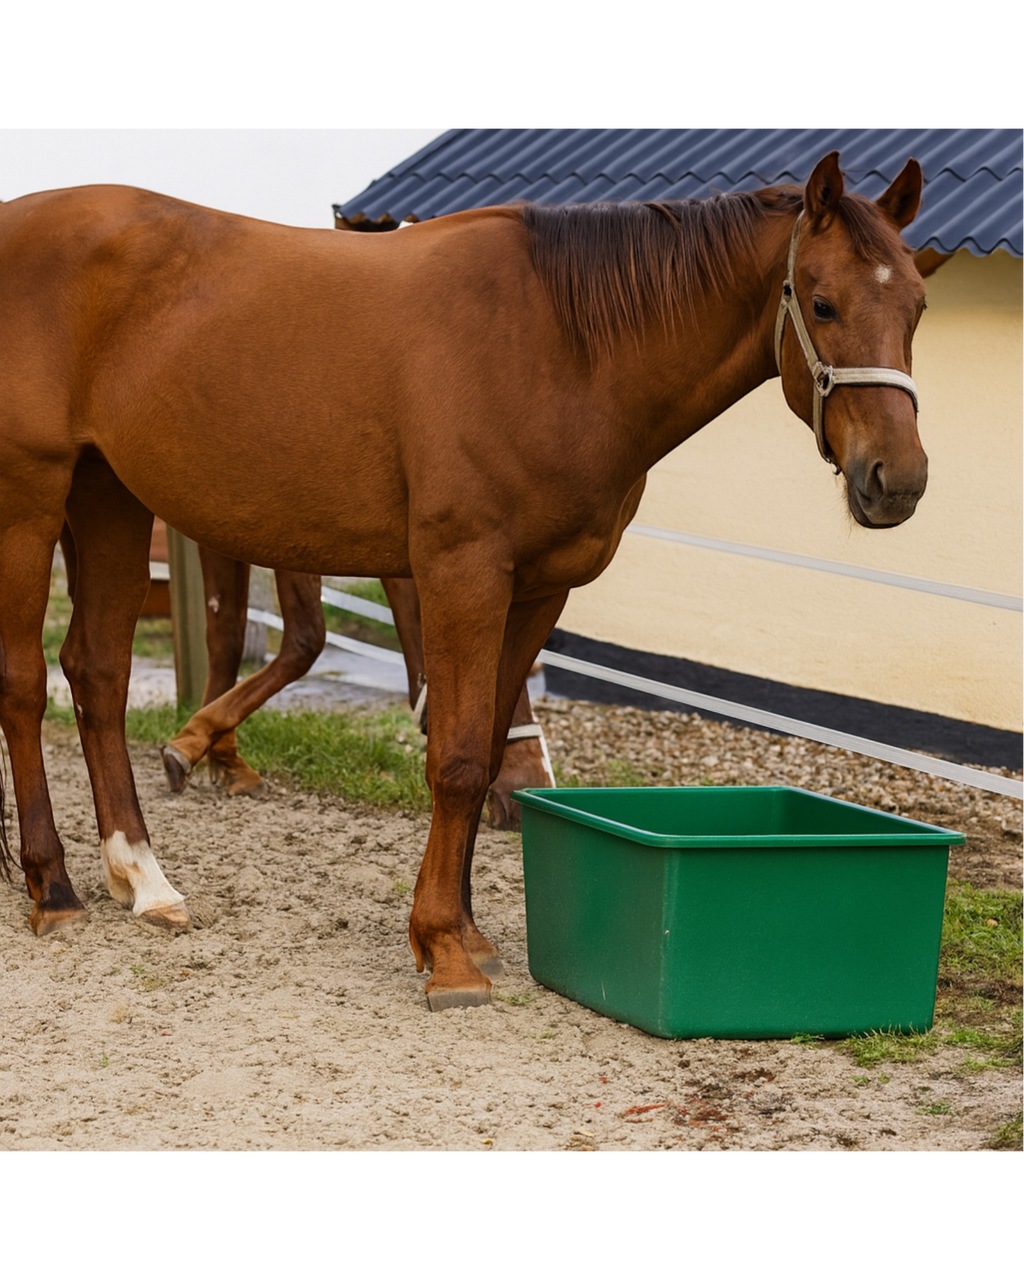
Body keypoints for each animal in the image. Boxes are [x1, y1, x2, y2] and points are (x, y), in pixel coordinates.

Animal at [0, 152, 929, 1009]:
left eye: (918, 306)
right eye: (822, 303)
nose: (899, 480)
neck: (561, 345)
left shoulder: (538, 588)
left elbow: (483, 757)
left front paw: (468, 930)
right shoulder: (463, 572)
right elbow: (451, 758)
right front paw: (444, 948)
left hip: (108, 497)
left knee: (98, 673)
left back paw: (142, 878)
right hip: (32, 500)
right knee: (26, 687)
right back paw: (54, 888)